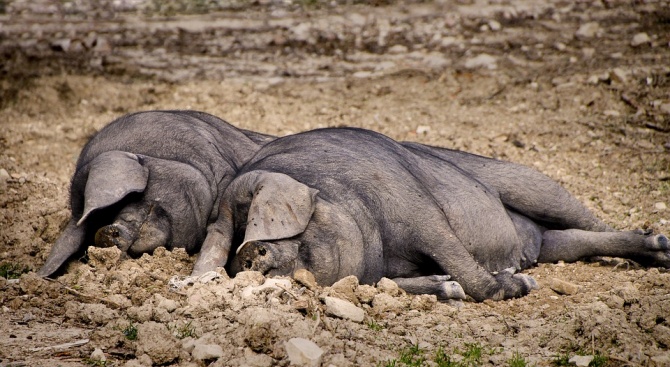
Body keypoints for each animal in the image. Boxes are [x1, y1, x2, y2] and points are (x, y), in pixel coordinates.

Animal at [192, 128, 668, 304]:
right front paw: (448, 287)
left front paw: (519, 286)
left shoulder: (418, 210)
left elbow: (454, 253)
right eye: (235, 240)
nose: (249, 255)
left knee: (590, 221)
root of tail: (530, 242)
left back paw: (661, 246)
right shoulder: (374, 272)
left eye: (257, 221)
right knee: (571, 242)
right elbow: (392, 283)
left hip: (530, 182)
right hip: (552, 242)